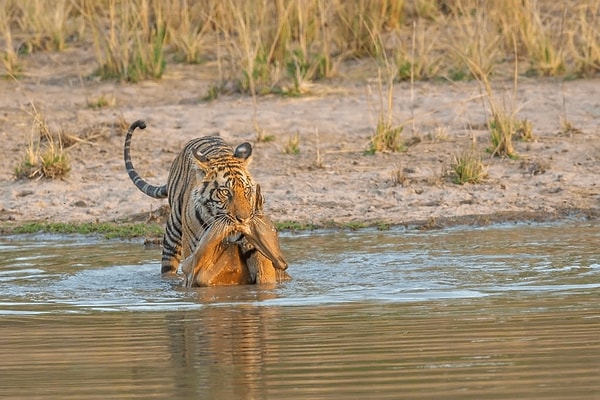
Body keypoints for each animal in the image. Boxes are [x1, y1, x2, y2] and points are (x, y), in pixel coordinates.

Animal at [123, 119, 288, 282]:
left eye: (246, 190)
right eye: (225, 192)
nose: (244, 219)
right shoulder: (193, 253)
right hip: (173, 232)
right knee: (168, 266)